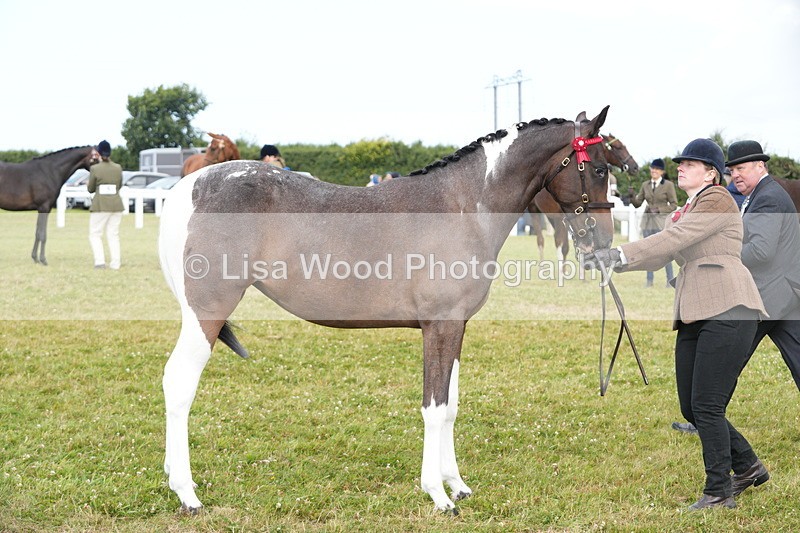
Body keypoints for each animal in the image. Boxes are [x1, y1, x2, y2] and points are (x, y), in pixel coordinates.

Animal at [158, 107, 613, 514]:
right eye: (600, 170)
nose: (605, 240)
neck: (464, 207)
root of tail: (187, 189)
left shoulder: (456, 327)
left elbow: (451, 406)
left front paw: (457, 484)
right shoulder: (439, 326)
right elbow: (434, 408)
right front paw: (438, 495)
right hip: (207, 314)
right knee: (179, 383)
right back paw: (187, 494)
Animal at [526, 133, 639, 263]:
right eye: (618, 147)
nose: (635, 167)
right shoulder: (563, 217)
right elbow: (563, 246)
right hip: (534, 210)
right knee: (541, 240)